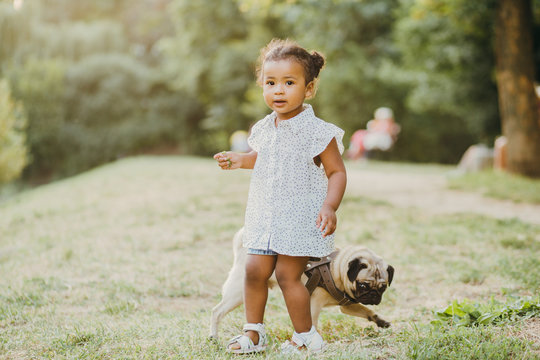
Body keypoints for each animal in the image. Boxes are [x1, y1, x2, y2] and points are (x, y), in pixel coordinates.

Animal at [208, 229, 392, 338]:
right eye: (363, 285)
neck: (335, 267)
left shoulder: (347, 305)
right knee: (217, 311)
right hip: (238, 292)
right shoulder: (314, 303)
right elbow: (313, 321)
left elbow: (367, 311)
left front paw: (380, 321)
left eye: (383, 288)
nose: (373, 295)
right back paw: (214, 337)